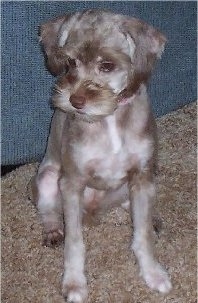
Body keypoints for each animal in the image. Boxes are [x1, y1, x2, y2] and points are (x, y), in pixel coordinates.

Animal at [32, 9, 172, 303]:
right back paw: (52, 231)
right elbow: (74, 242)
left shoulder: (142, 175)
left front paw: (153, 273)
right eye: (70, 62)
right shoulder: (72, 182)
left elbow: (142, 235)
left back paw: (151, 217)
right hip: (47, 177)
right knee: (48, 210)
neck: (108, 119)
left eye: (107, 65)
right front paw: (74, 284)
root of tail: (94, 211)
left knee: (132, 208)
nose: (75, 101)